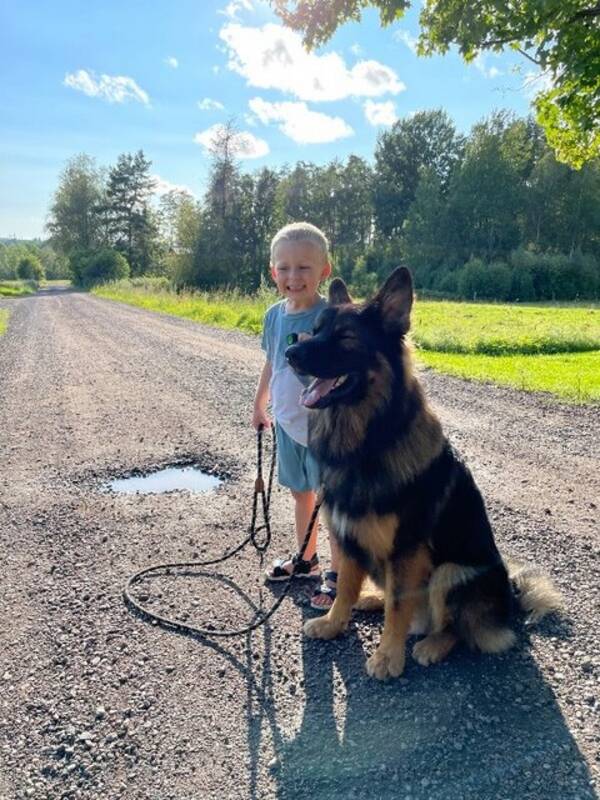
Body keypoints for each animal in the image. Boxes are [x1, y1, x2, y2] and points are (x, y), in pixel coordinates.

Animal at [286, 270, 564, 680]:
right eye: (316, 330)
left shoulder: (407, 549)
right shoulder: (348, 535)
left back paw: (430, 645)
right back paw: (372, 599)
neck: (369, 442)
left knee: (454, 630)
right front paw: (335, 624)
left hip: (451, 572)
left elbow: (399, 605)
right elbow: (347, 586)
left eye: (346, 337)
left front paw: (388, 657)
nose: (290, 354)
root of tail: (510, 604)